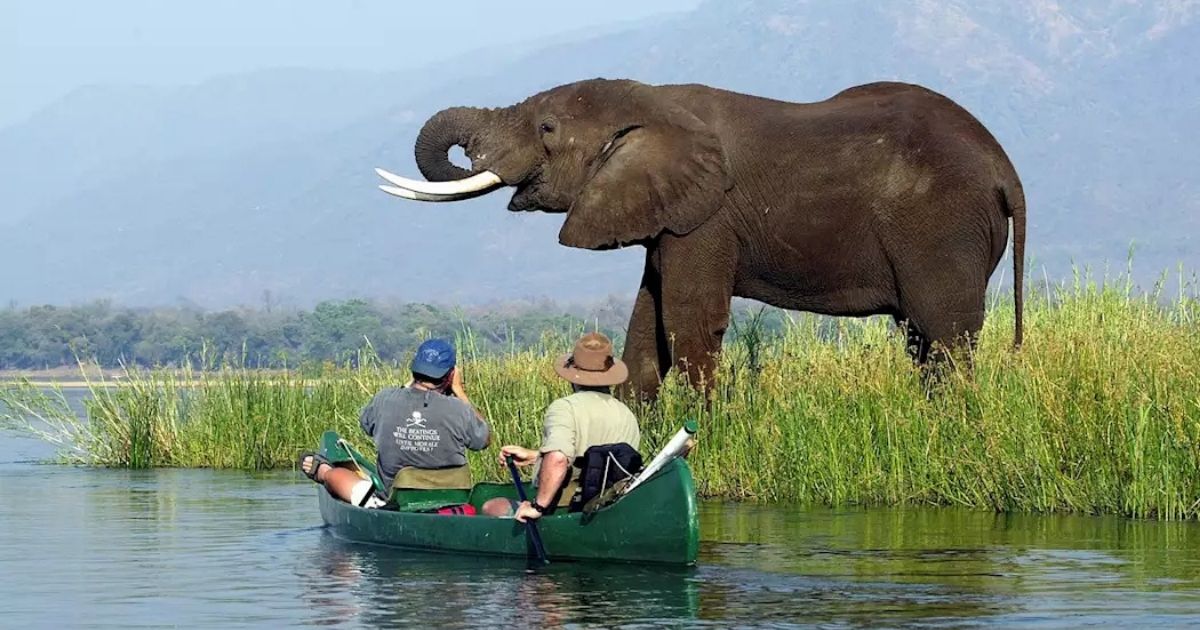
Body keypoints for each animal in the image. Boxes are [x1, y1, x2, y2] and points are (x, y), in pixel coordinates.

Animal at [374, 78, 1026, 399]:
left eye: (548, 128)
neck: (653, 103)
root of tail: (1005, 168)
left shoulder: (709, 216)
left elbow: (686, 318)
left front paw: (701, 432)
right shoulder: (664, 216)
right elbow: (646, 322)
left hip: (942, 226)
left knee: (944, 334)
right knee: (923, 337)